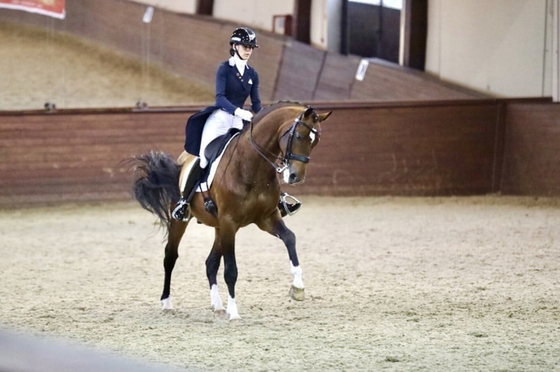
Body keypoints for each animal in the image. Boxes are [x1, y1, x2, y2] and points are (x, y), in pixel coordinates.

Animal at [130, 102, 332, 320]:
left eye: (315, 141)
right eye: (299, 136)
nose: (295, 176)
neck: (252, 166)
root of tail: (182, 159)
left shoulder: (266, 218)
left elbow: (290, 238)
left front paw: (297, 287)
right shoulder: (229, 221)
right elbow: (231, 270)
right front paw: (234, 312)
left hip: (219, 226)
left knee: (210, 263)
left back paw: (218, 305)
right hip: (183, 221)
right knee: (170, 257)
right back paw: (167, 302)